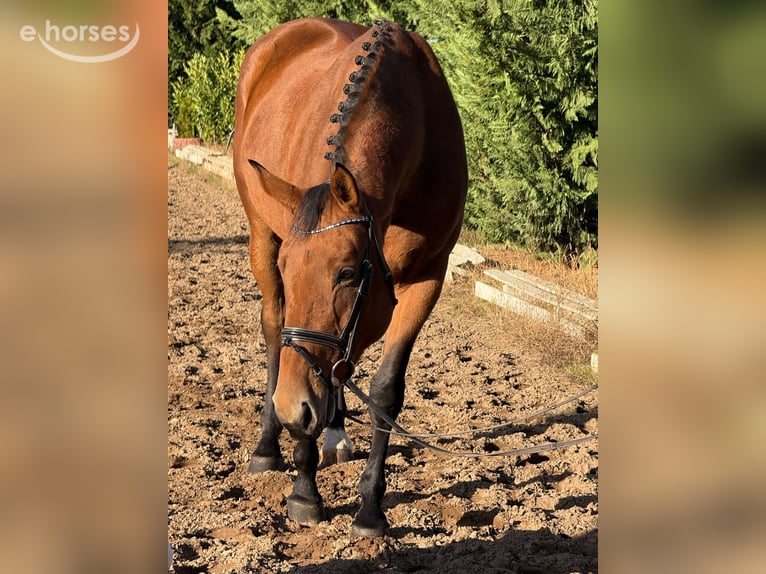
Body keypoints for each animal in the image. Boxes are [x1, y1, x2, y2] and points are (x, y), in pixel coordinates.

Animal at [233, 17, 467, 537]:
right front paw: (304, 492)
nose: (290, 406)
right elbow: (298, 361)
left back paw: (335, 433)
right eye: (289, 271)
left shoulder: (426, 278)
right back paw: (269, 447)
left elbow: (384, 390)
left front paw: (371, 507)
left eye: (345, 273)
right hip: (261, 236)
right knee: (275, 332)